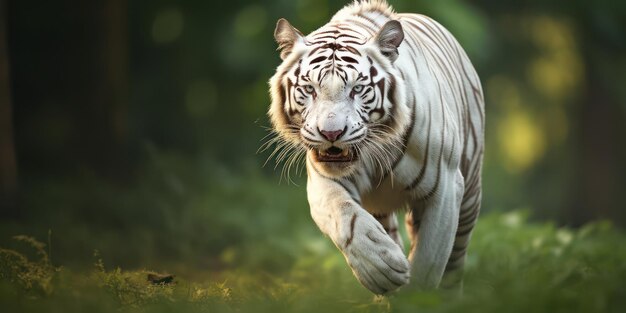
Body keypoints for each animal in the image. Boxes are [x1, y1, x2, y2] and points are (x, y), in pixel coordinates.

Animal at [266, 0, 482, 292]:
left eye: (357, 89)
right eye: (310, 89)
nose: (331, 133)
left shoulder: (446, 188)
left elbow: (428, 264)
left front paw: (416, 295)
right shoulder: (324, 181)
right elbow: (346, 216)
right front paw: (381, 267)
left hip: (469, 197)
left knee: (455, 262)